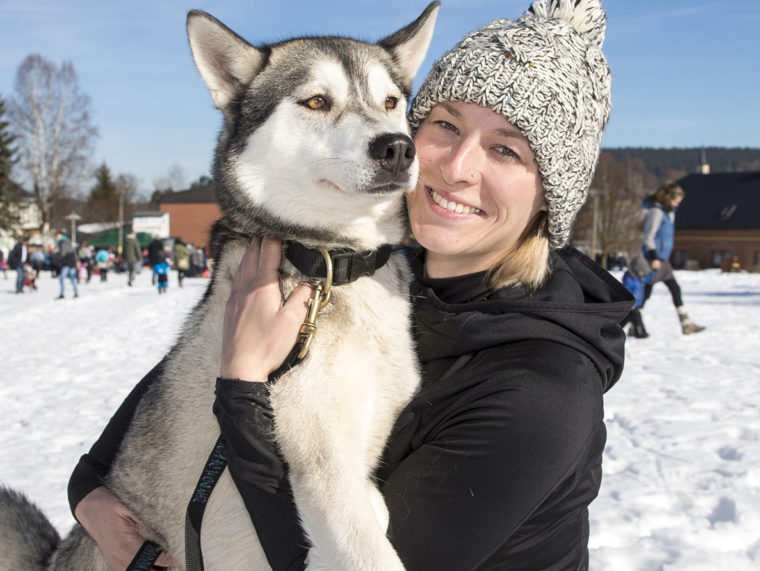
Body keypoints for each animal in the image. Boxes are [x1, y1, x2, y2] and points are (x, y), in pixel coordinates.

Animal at [0, 5, 436, 571]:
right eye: (317, 101)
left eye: (390, 102)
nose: (398, 147)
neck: (330, 263)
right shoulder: (324, 470)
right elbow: (369, 548)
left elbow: (375, 512)